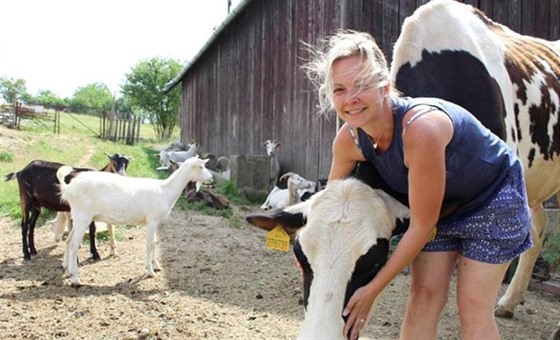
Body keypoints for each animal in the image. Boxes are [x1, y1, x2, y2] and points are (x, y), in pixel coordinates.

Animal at [57, 157, 212, 286]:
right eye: (201, 167)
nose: (211, 178)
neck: (165, 190)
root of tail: (69, 188)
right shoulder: (152, 220)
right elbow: (149, 245)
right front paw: (150, 271)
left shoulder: (156, 222)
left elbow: (155, 243)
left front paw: (157, 266)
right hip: (83, 216)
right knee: (74, 245)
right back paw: (76, 279)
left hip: (78, 217)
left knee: (68, 241)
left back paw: (67, 272)